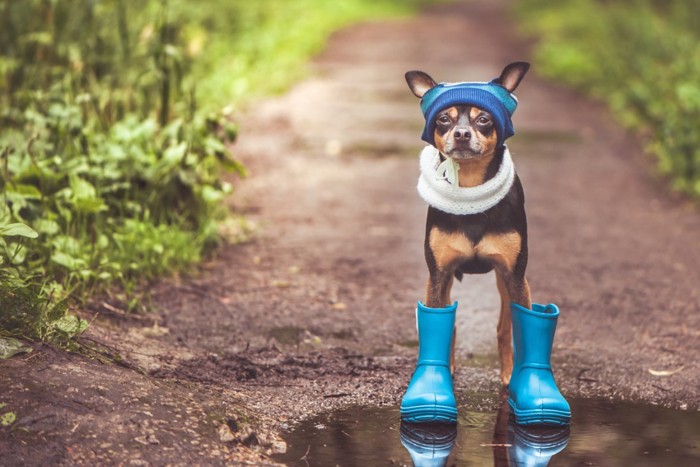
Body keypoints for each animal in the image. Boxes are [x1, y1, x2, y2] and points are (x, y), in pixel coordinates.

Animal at [404, 61, 532, 388]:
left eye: (483, 119)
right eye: (443, 119)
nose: (461, 133)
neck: (471, 189)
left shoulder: (514, 275)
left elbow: (517, 328)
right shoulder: (439, 274)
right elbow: (441, 326)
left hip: (508, 280)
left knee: (504, 327)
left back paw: (508, 372)